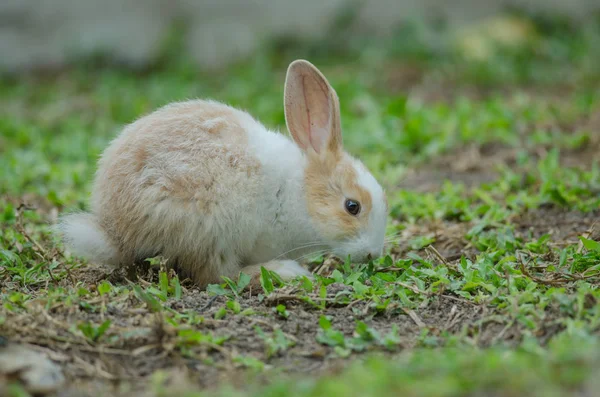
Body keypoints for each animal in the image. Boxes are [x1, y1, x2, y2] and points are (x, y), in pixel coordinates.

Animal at [58, 60, 390, 286]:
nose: (373, 254)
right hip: (208, 229)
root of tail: (116, 231)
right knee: (218, 276)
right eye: (352, 206)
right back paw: (285, 272)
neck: (300, 193)